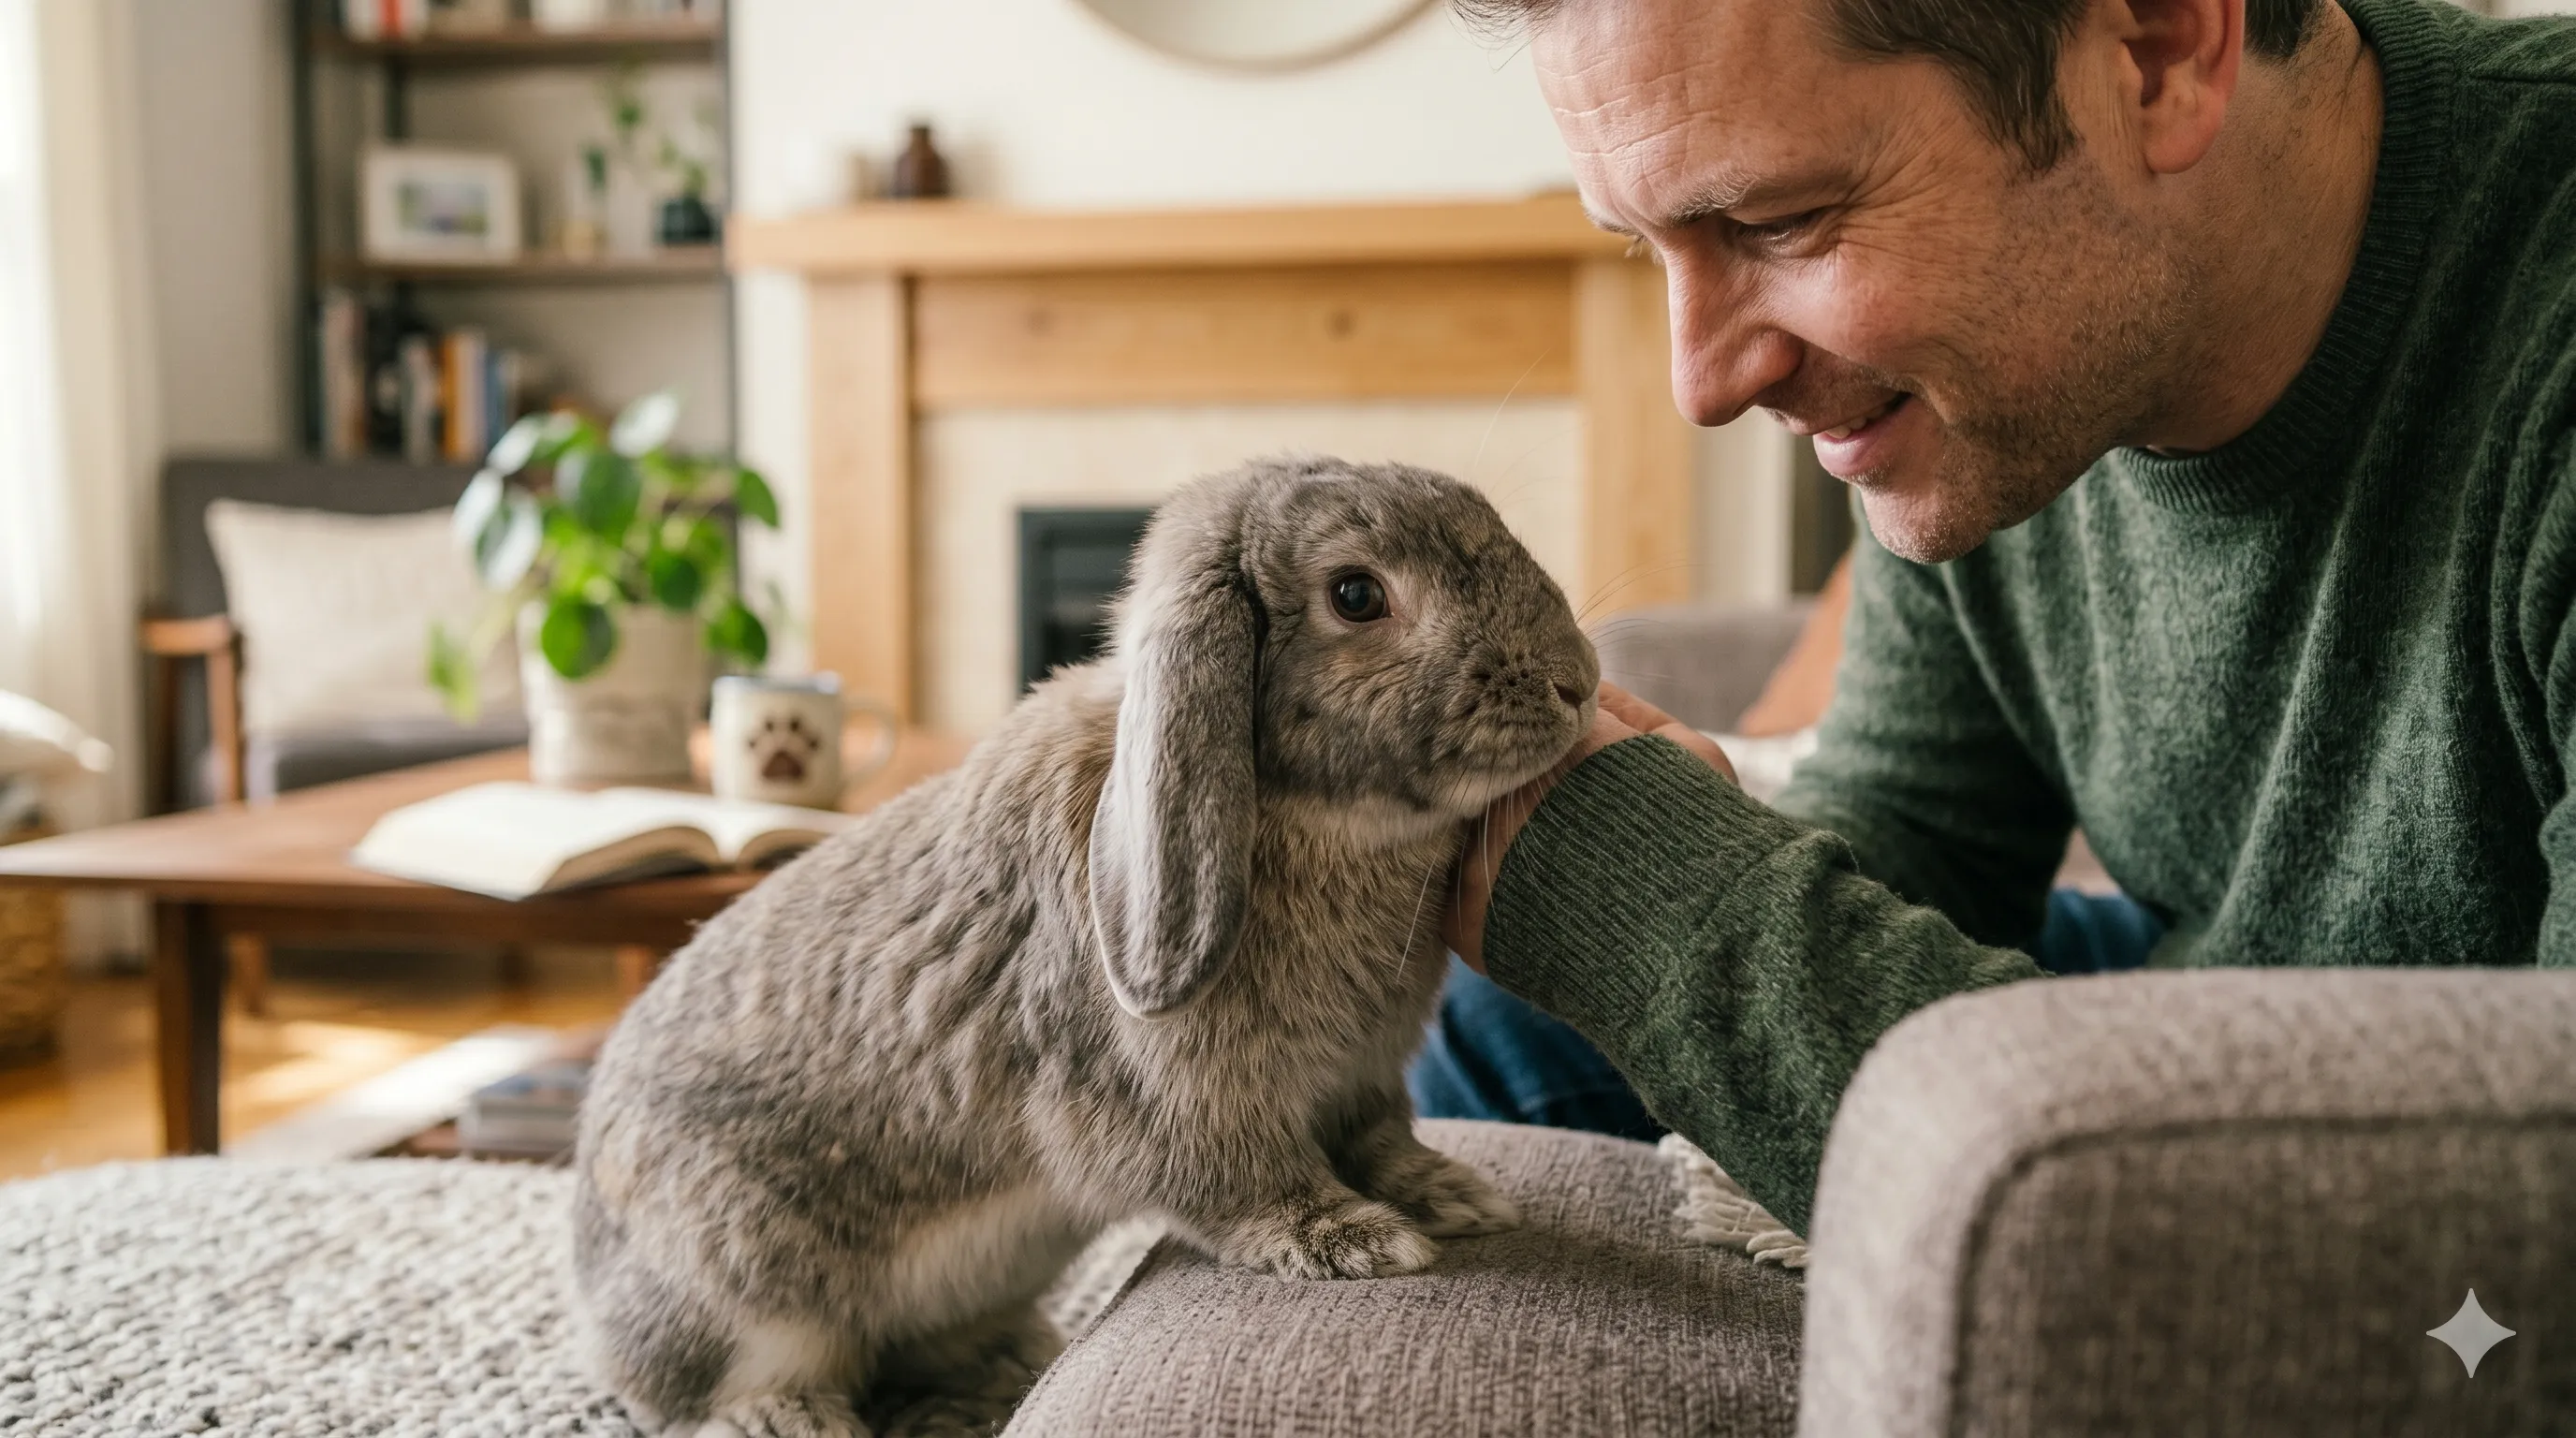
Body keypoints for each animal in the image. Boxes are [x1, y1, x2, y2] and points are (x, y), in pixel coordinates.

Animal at [571, 456, 1601, 1438]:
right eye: (1356, 594)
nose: (1578, 683)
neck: (1303, 815)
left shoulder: (1364, 1077)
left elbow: (1382, 1138)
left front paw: (1453, 1197)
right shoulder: (1179, 1095)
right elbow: (1241, 1176)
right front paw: (1352, 1239)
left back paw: (1007, 1361)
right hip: (744, 1285)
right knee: (690, 1387)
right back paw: (787, 1417)